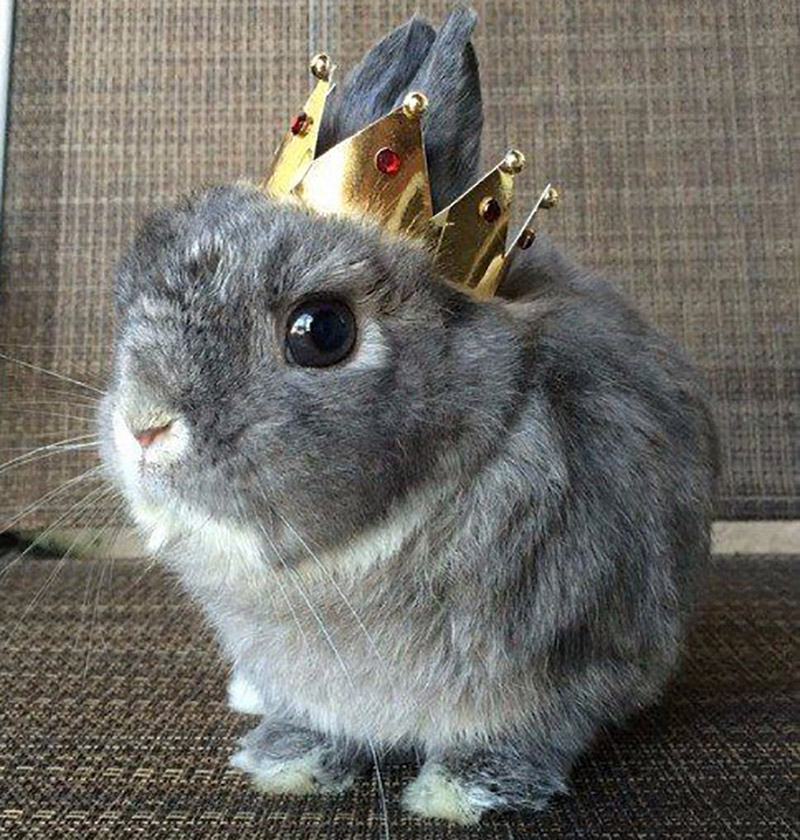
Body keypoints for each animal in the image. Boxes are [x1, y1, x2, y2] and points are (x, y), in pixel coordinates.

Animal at [99, 7, 718, 826]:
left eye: (321, 331)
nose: (143, 425)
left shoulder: (578, 657)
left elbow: (532, 729)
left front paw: (464, 790)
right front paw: (287, 759)